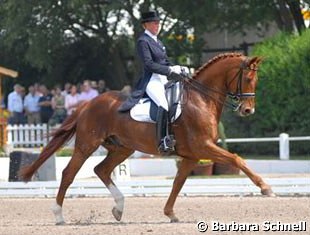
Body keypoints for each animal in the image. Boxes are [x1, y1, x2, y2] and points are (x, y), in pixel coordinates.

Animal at [20, 52, 274, 225]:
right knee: (68, 174)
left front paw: (170, 213)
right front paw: (265, 188)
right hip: (87, 145)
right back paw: (59, 215)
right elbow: (236, 159)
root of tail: (88, 104)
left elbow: (178, 182)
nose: (248, 110)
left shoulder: (192, 155)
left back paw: (119, 209)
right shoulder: (203, 147)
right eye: (248, 78)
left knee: (101, 170)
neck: (201, 99)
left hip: (122, 148)